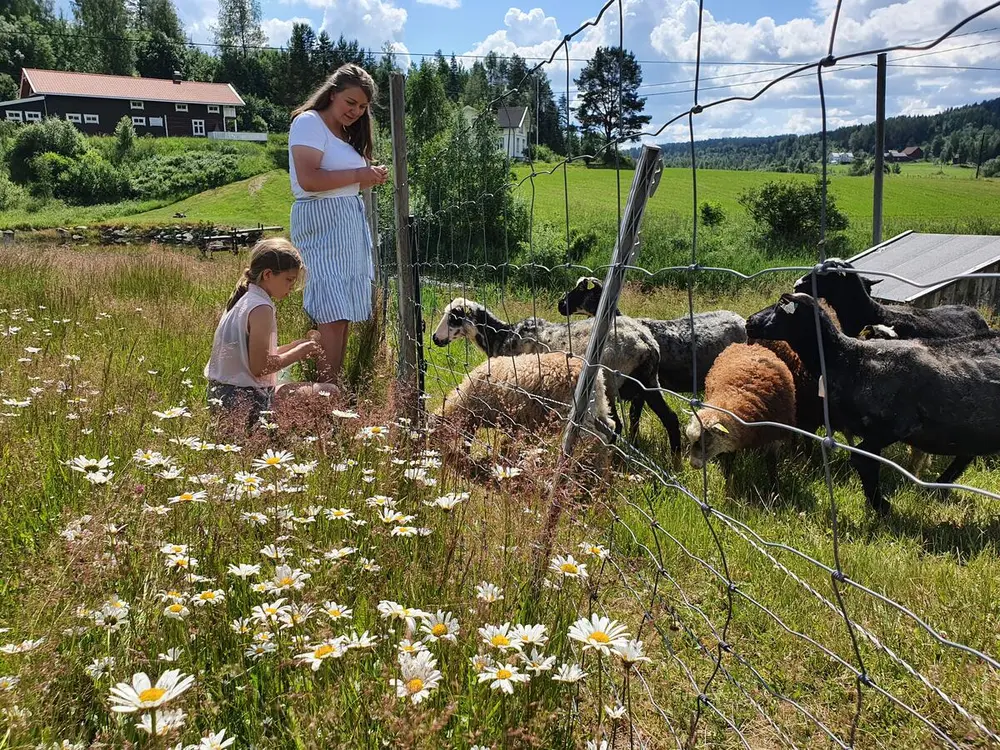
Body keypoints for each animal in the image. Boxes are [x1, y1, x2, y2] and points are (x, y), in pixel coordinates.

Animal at [438, 354, 616, 470]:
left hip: (571, 414)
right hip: (597, 408)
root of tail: (597, 377)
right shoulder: (512, 420)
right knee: (609, 427)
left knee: (593, 438)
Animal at [748, 290, 1000, 516]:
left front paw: (881, 506)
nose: (750, 321)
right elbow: (868, 463)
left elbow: (862, 460)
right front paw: (876, 504)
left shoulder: (891, 427)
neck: (849, 358)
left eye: (781, 305)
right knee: (966, 455)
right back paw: (940, 487)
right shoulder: (871, 431)